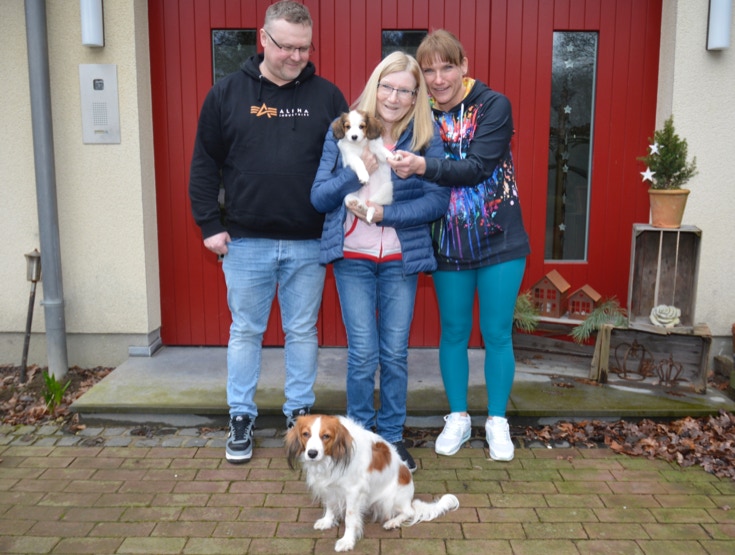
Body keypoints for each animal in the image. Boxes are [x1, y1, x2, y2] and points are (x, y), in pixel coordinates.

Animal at [285, 414, 460, 552]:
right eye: (306, 434)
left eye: (326, 436)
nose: (312, 453)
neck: (333, 457)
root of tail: (409, 498)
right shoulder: (329, 487)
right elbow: (330, 506)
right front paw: (327, 521)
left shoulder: (353, 491)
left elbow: (350, 518)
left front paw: (347, 541)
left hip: (389, 500)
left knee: (409, 512)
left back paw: (393, 522)